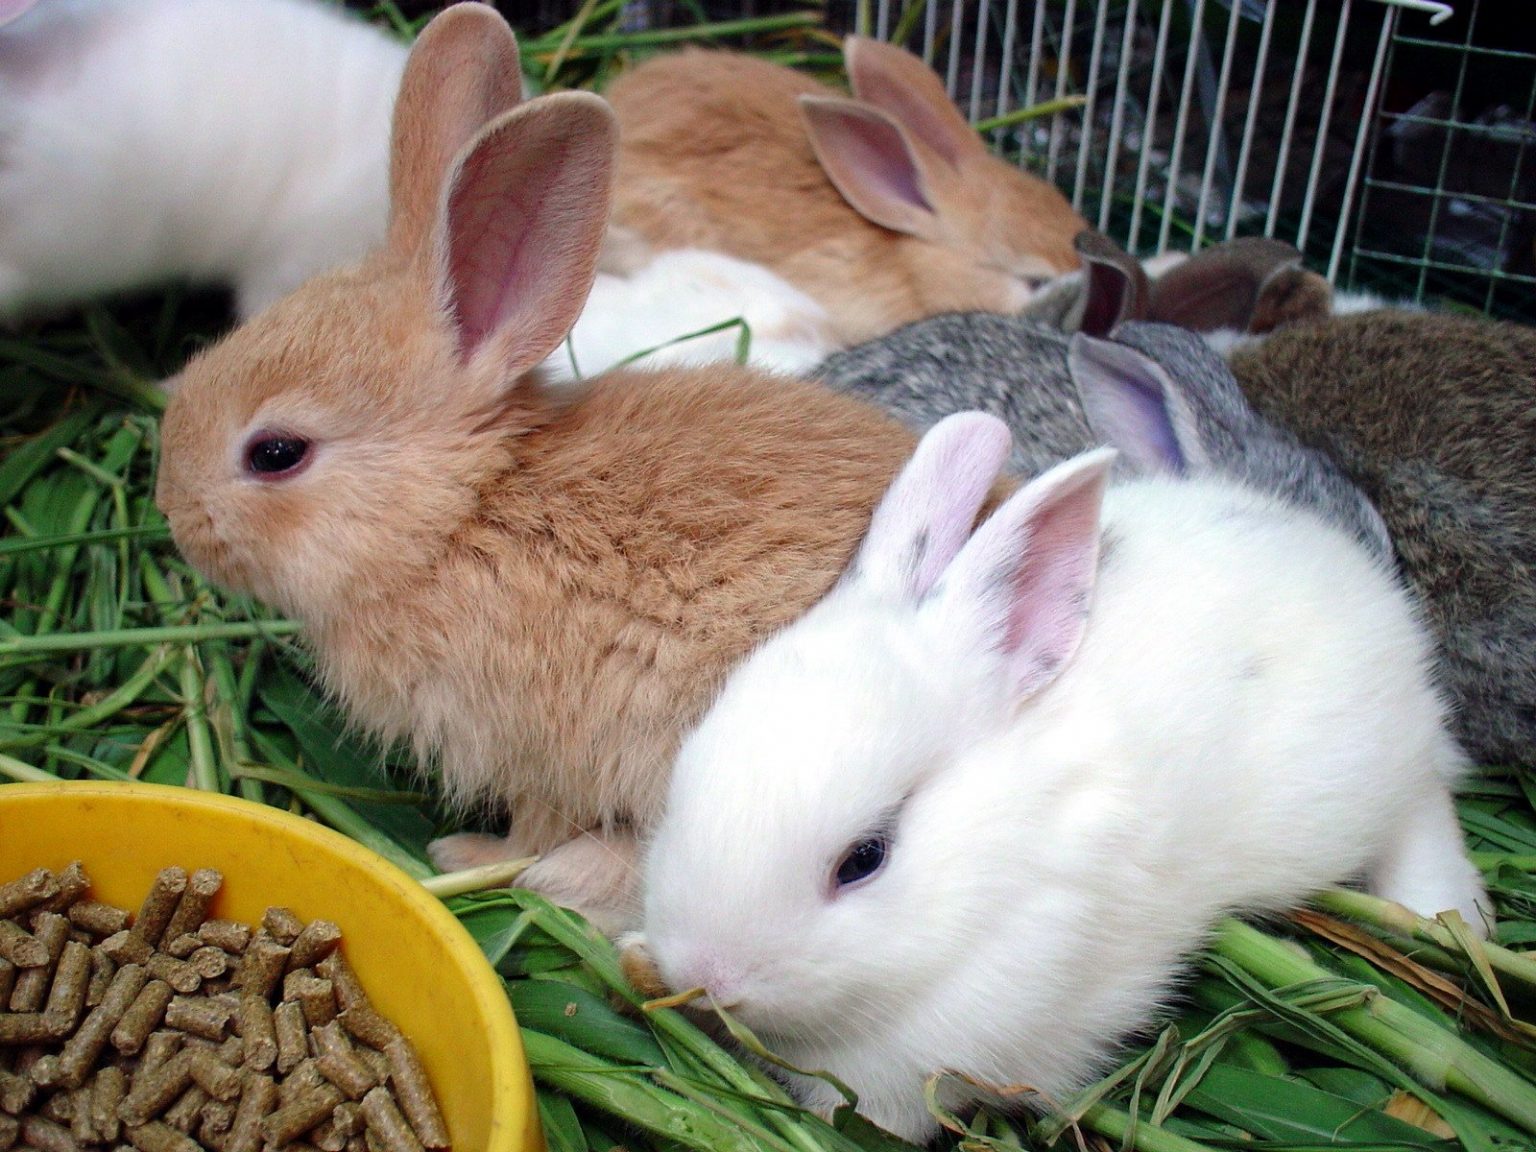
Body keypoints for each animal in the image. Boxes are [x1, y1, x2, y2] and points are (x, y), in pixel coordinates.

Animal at [631, 399, 1488, 1143]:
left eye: (864, 859)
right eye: (685, 779)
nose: (708, 973)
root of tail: (1363, 583)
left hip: (1355, 787)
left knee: (1423, 807)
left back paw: (1454, 914)